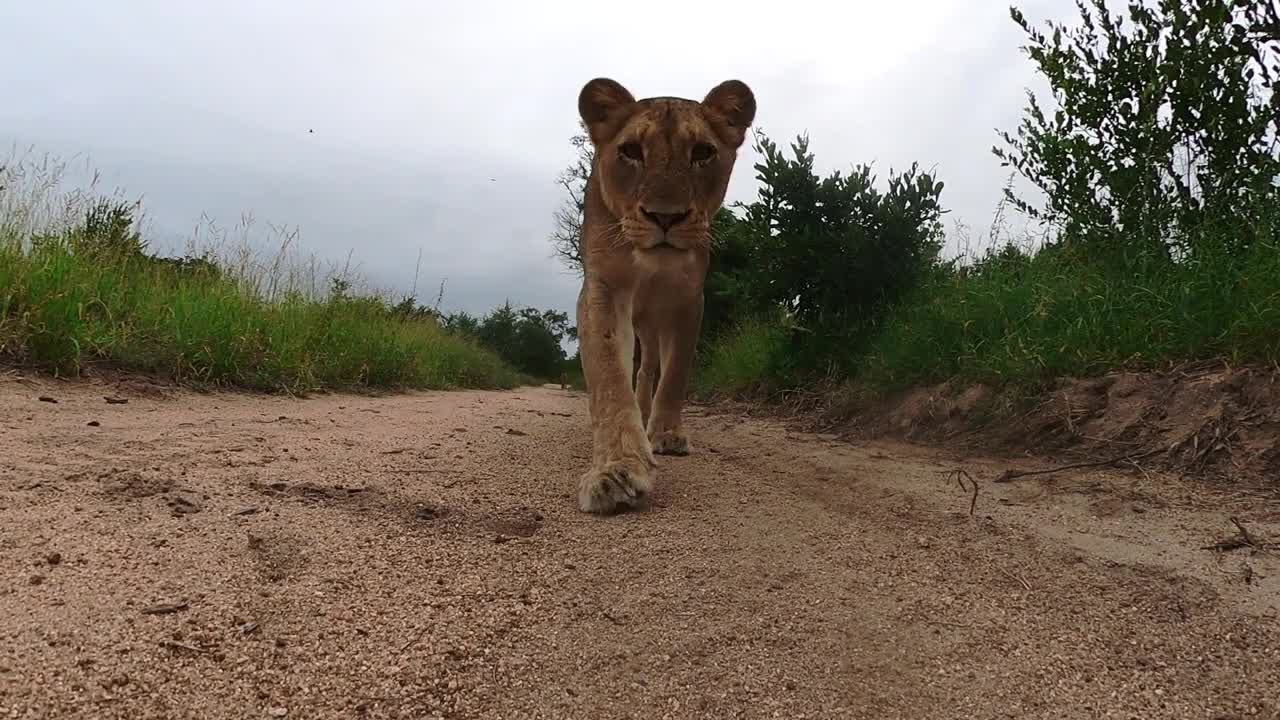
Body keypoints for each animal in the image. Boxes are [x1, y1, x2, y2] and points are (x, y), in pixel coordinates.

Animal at [568, 75, 747, 509]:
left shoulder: (688, 299)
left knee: (650, 366)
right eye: (631, 151)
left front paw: (665, 434)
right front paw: (616, 470)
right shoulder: (602, 288)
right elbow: (609, 376)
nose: (665, 217)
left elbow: (676, 371)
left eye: (702, 153)